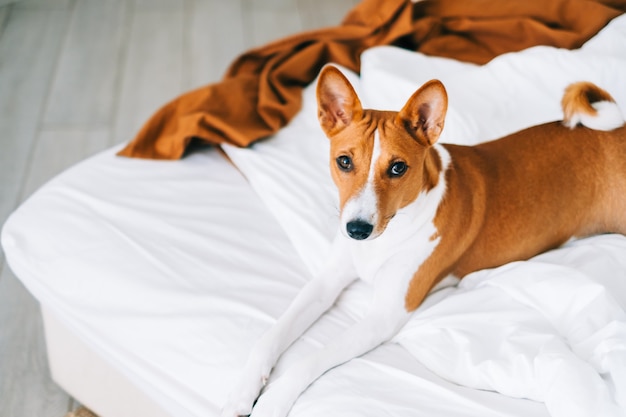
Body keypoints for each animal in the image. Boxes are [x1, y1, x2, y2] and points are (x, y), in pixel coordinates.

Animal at [221, 66, 624, 416]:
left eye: (398, 168)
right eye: (344, 161)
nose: (356, 230)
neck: (387, 236)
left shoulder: (384, 315)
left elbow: (310, 358)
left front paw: (273, 401)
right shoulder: (326, 283)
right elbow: (272, 334)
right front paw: (243, 388)